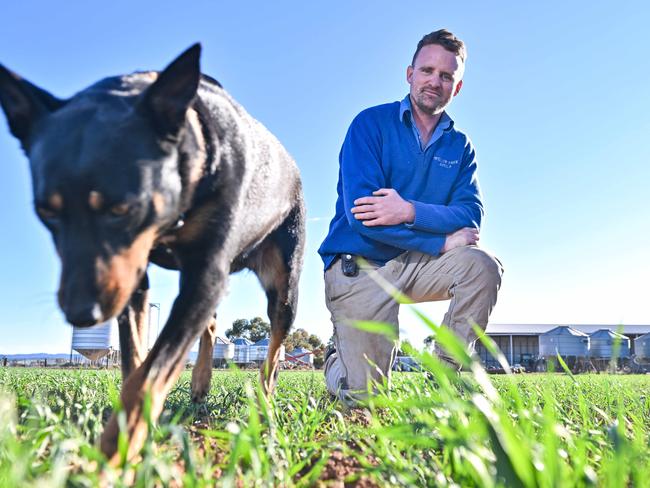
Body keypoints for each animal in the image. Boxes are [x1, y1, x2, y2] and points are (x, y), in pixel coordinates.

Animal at [0, 45, 304, 466]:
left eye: (122, 208)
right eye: (46, 211)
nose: (82, 313)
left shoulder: (205, 275)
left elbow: (149, 375)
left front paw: (112, 458)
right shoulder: (133, 276)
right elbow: (135, 364)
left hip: (284, 282)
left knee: (273, 352)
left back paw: (264, 405)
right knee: (211, 324)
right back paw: (200, 384)